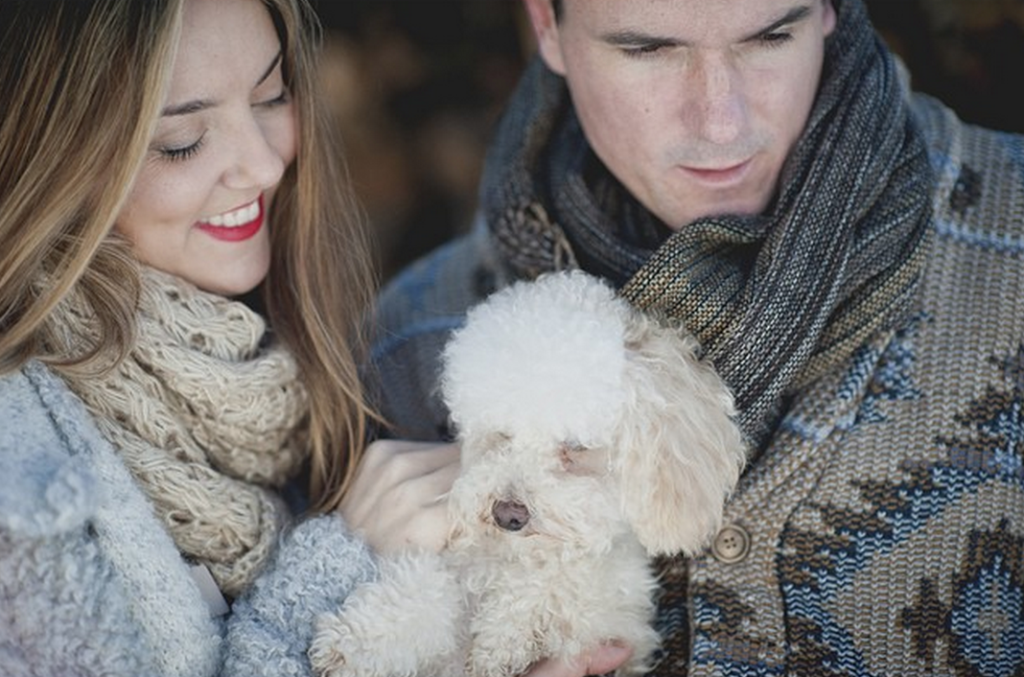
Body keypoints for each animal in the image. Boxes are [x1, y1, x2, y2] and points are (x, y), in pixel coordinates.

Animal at [307, 270, 749, 675]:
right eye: (502, 434)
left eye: (576, 447)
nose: (508, 515)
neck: (524, 558)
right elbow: (426, 589)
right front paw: (358, 642)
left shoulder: (614, 622)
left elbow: (561, 593)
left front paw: (504, 639)